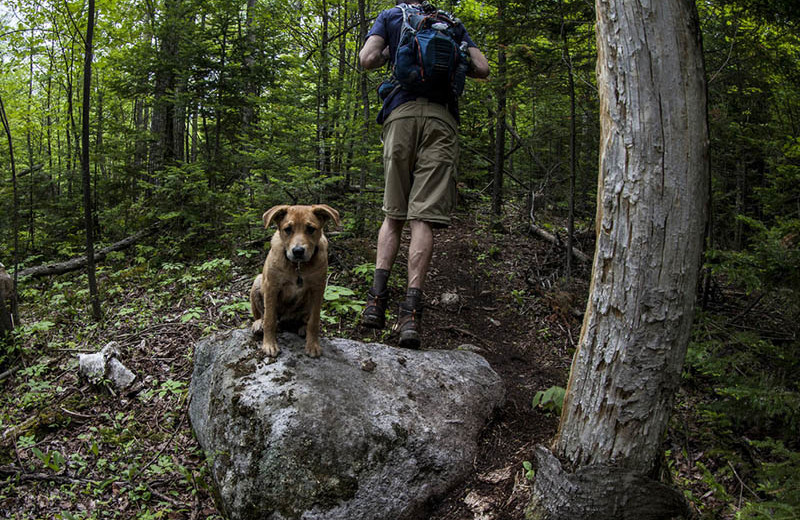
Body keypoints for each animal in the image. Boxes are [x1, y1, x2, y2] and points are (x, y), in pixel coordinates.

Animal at [248, 204, 340, 358]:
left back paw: (302, 327)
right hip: (258, 281)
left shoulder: (318, 288)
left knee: (304, 320)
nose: (298, 251)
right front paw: (269, 345)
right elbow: (269, 319)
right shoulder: (272, 286)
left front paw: (313, 345)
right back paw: (258, 324)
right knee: (262, 315)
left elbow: (314, 321)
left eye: (311, 229)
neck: (298, 267)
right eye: (288, 229)